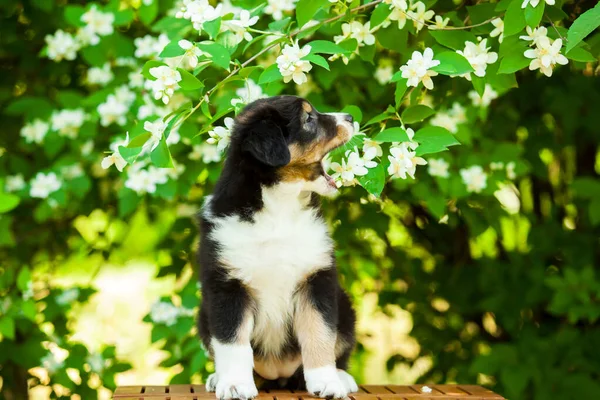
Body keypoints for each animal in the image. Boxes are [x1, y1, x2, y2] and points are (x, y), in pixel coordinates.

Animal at [197, 95, 356, 398]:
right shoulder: (227, 285)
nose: (351, 117)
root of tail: (278, 374)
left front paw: (326, 382)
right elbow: (232, 343)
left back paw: (341, 377)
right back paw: (217, 378)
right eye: (309, 119)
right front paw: (234, 385)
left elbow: (319, 334)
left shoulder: (316, 278)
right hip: (203, 314)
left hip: (344, 306)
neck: (280, 207)